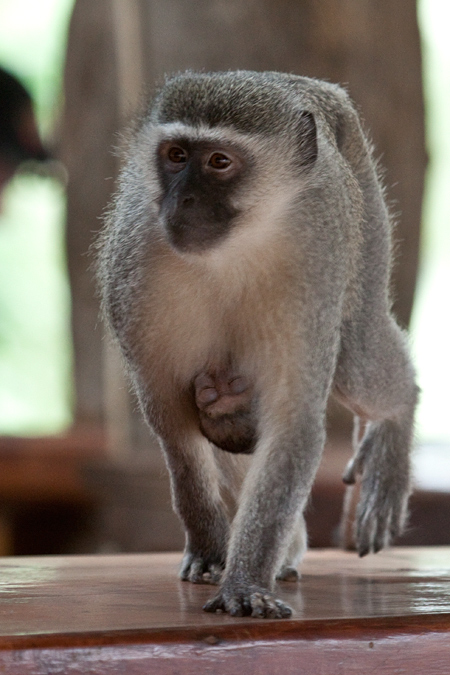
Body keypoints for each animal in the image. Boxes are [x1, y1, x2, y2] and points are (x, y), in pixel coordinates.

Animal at [98, 71, 418, 620]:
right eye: (176, 155)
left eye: (219, 162)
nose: (181, 200)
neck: (230, 251)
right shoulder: (134, 274)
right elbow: (173, 422)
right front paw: (210, 548)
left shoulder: (313, 267)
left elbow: (293, 423)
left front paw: (246, 579)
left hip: (363, 219)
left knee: (355, 353)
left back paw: (396, 423)